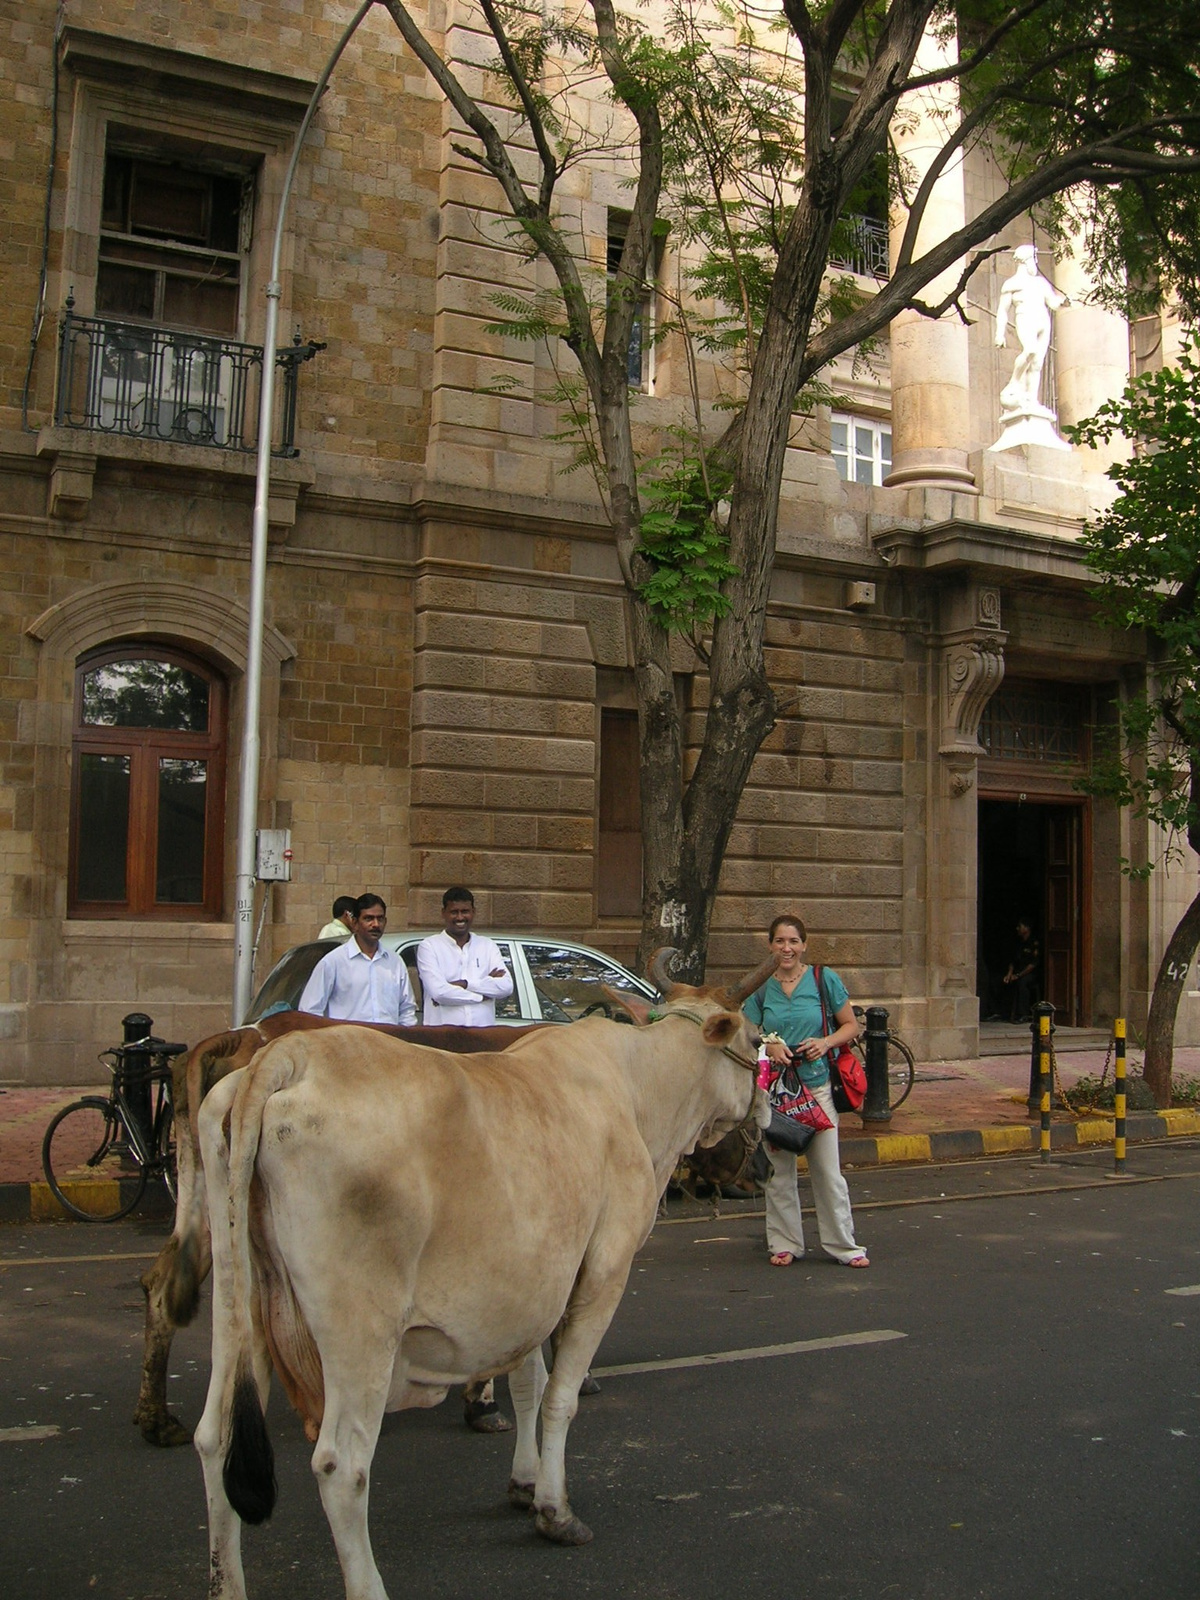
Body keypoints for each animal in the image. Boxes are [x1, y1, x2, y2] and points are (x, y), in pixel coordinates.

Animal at [188, 953, 771, 1593]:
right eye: (754, 1039)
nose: (768, 1109)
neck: (638, 1089)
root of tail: (286, 1055)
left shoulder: (535, 1283)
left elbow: (528, 1385)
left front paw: (525, 1481)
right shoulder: (603, 1269)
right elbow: (560, 1396)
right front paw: (554, 1509)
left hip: (239, 1308)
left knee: (216, 1438)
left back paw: (226, 1583)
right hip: (359, 1330)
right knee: (342, 1465)